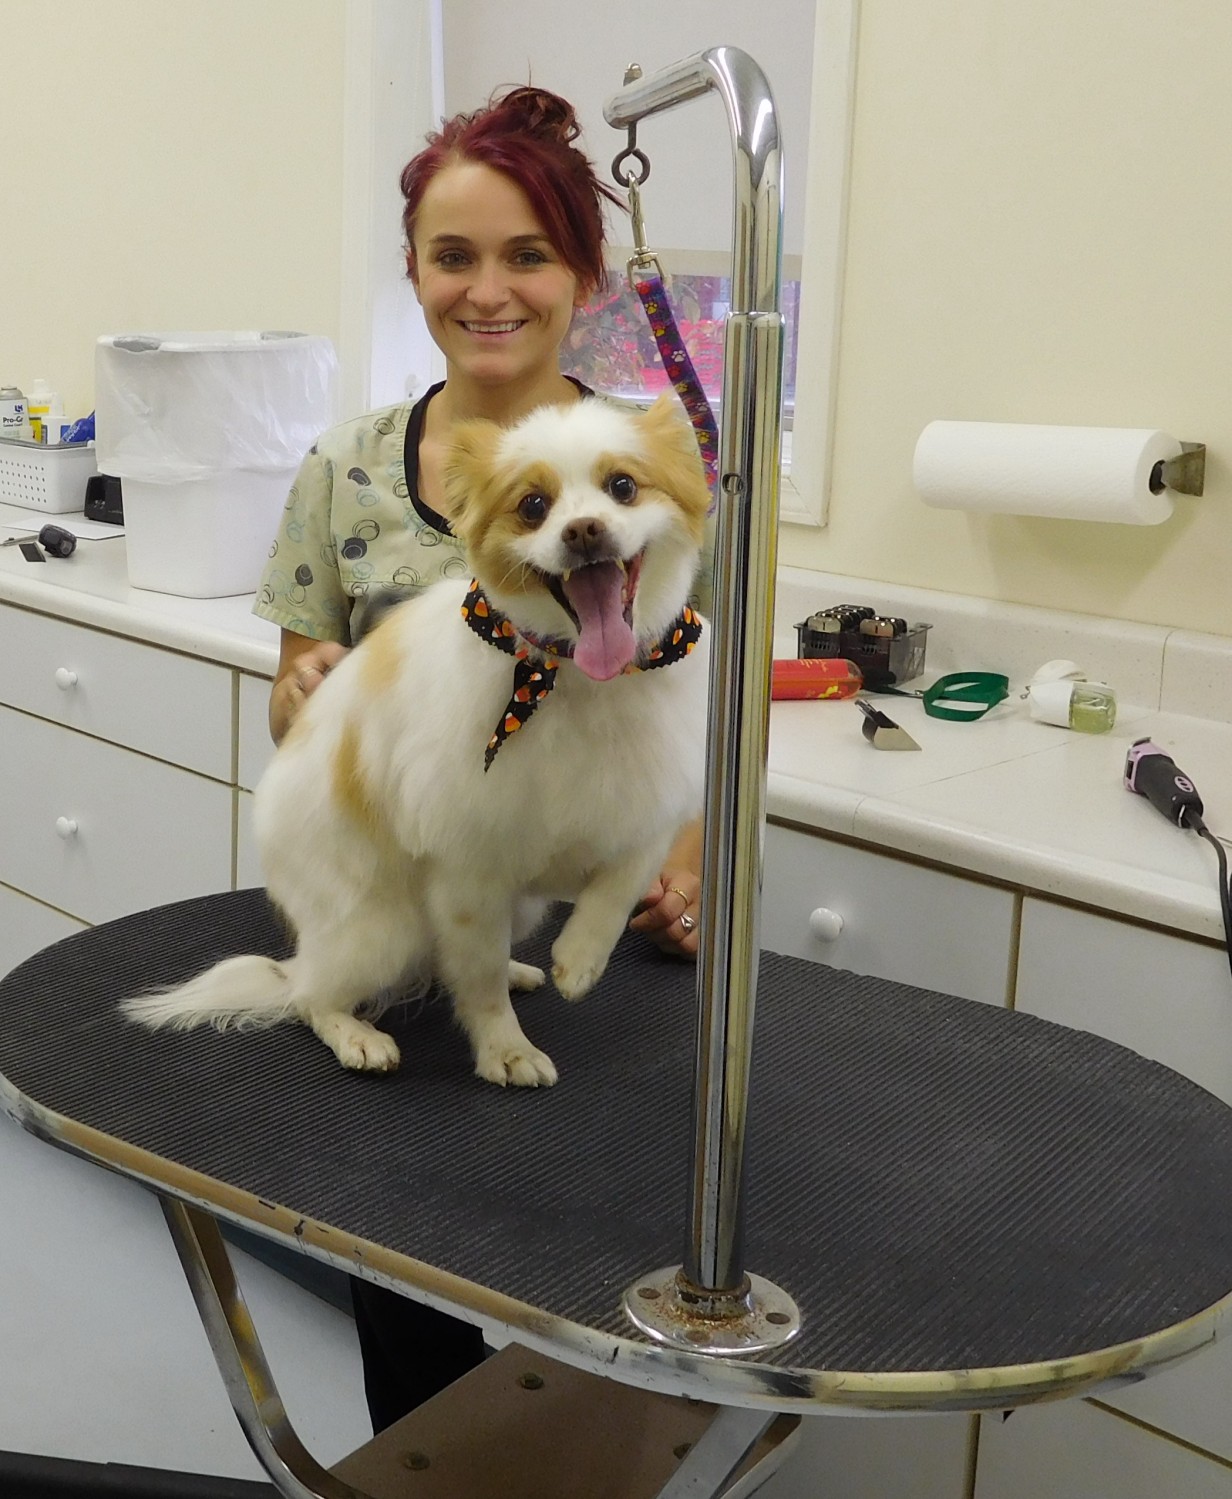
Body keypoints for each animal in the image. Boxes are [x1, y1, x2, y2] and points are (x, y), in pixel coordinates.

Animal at [122, 392, 713, 1085]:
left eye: (622, 486)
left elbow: (621, 886)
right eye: (533, 505)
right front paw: (504, 1049)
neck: (566, 676)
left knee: (441, 961)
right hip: (380, 927)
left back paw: (519, 969)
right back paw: (356, 1034)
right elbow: (478, 981)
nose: (584, 530)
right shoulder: (468, 867)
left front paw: (580, 959)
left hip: (510, 909)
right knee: (314, 996)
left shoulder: (645, 808)